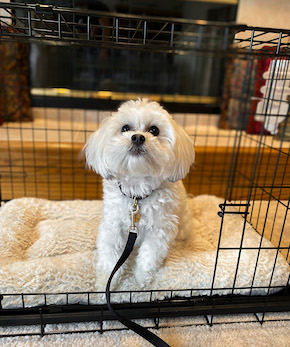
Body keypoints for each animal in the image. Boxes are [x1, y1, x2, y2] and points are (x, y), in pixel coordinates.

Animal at [85, 98, 196, 288]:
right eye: (125, 128)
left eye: (154, 130)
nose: (137, 137)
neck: (137, 193)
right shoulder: (112, 226)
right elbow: (110, 256)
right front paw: (106, 280)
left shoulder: (159, 229)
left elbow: (149, 257)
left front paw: (141, 280)